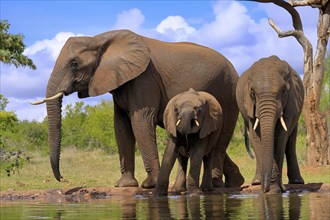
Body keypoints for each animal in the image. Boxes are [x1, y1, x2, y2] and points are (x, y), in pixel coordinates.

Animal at [31, 28, 244, 188]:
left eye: (74, 63)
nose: (62, 179)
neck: (100, 38)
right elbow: (121, 125)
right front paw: (125, 185)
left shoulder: (144, 78)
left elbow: (140, 121)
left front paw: (150, 185)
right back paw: (235, 183)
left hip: (229, 92)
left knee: (221, 138)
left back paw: (217, 185)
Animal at [237, 55, 304, 193]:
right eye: (252, 92)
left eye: (283, 91)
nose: (265, 189)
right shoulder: (251, 106)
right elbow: (256, 137)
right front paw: (270, 189)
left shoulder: (291, 102)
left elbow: (280, 139)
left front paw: (277, 189)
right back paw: (257, 182)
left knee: (291, 141)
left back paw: (297, 181)